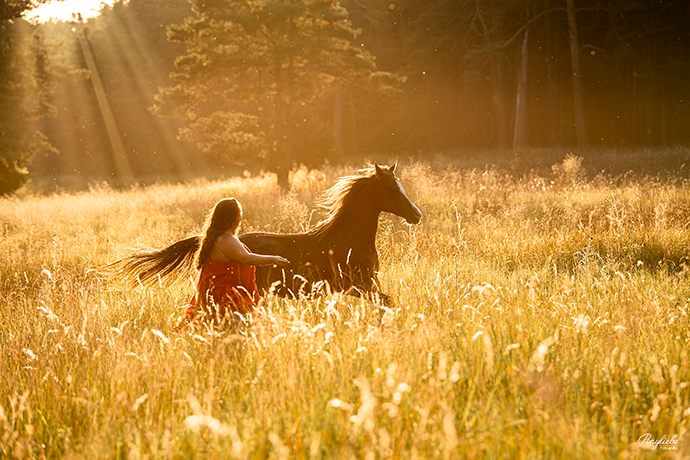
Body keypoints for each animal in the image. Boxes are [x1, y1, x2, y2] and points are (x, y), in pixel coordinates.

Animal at [110, 164, 420, 308]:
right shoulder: (359, 286)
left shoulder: (365, 286)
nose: (416, 215)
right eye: (392, 189)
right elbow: (387, 303)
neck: (350, 240)